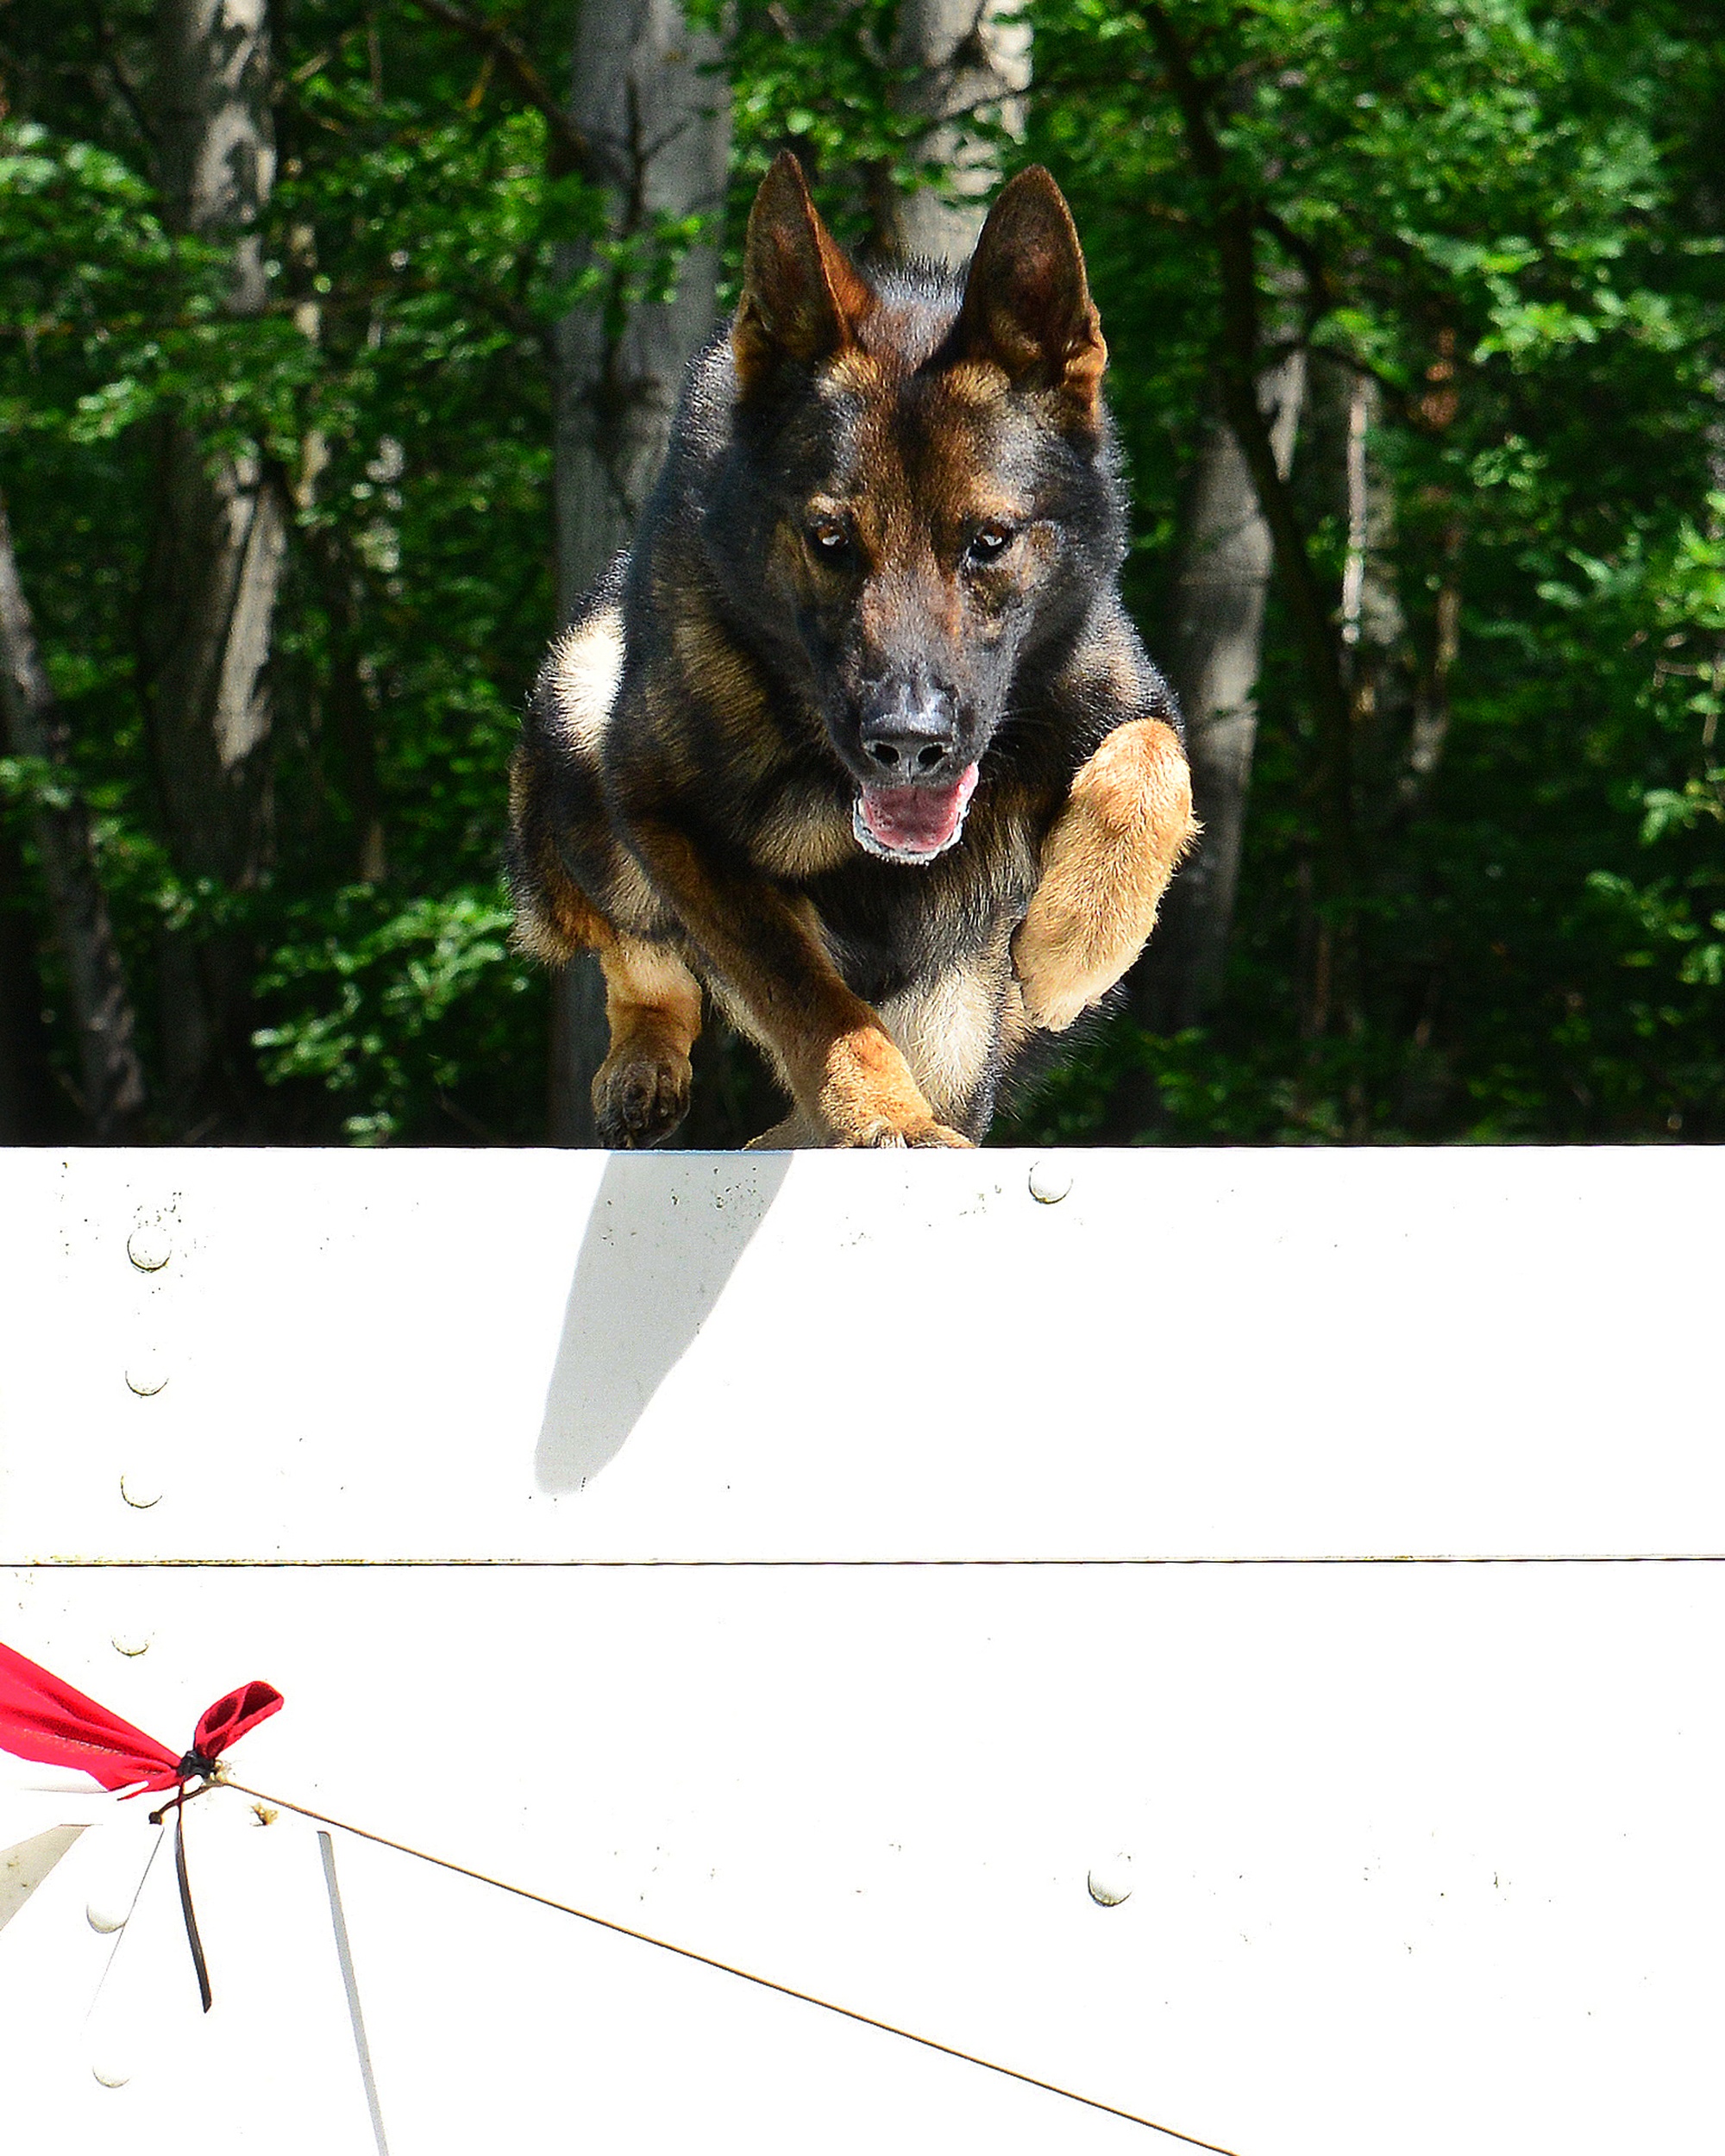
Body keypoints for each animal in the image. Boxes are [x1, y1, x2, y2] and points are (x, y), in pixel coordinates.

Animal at [505, 156, 1190, 1147]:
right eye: (830, 540)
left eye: (989, 540)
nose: (907, 742)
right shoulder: (667, 815)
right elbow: (811, 1001)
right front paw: (879, 1112)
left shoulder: (1126, 695)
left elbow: (1150, 766)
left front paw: (1073, 948)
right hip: (577, 707)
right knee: (644, 956)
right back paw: (648, 1059)